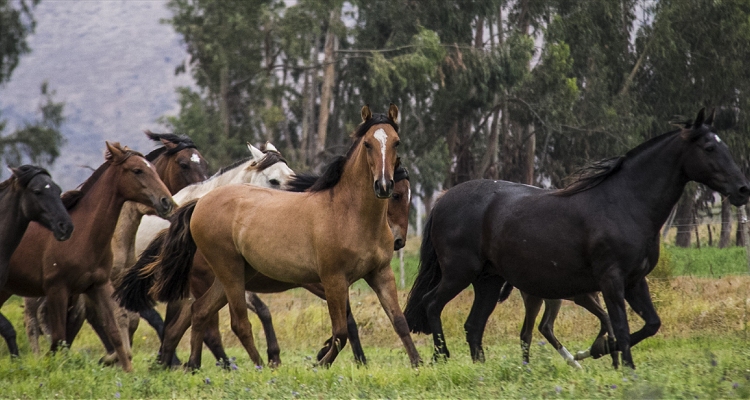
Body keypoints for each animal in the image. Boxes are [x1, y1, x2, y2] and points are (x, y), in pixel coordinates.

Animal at [124, 104, 424, 368]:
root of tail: (200, 203)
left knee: (198, 313)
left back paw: (193, 365)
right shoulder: (333, 280)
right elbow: (341, 330)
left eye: (396, 142)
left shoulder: (380, 273)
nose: (383, 185)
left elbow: (399, 321)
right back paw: (259, 366)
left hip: (227, 278)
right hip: (230, 275)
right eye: (368, 144)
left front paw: (418, 363)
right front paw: (321, 363)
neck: (349, 214)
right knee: (237, 323)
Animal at [406, 108, 750, 368]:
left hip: (488, 281)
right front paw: (621, 366)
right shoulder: (611, 281)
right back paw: (441, 357)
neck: (625, 202)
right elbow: (621, 327)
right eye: (709, 148)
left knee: (474, 326)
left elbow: (650, 324)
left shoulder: (635, 281)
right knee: (431, 304)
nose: (742, 189)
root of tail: (442, 199)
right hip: (459, 272)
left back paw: (482, 370)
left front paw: (597, 350)